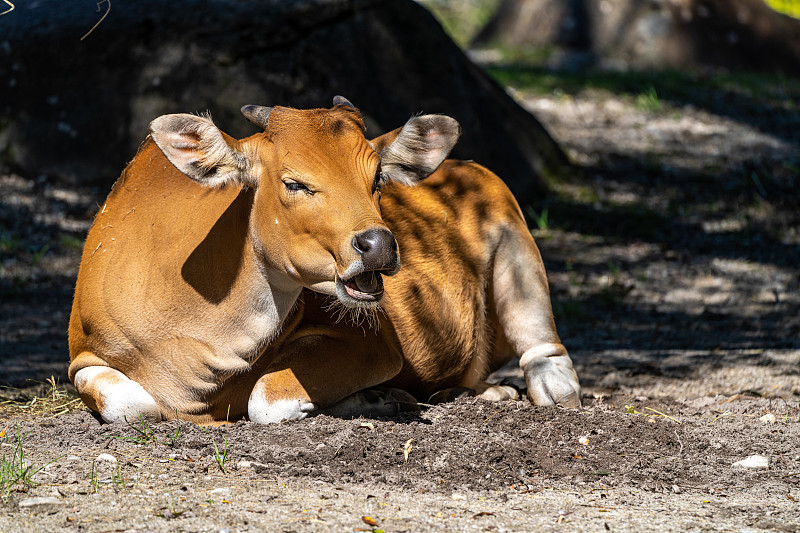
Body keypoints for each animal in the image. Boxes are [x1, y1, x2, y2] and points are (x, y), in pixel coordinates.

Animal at [69, 96, 580, 424]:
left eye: (377, 178)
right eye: (294, 182)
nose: (379, 245)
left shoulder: (371, 342)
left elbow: (264, 399)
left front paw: (374, 399)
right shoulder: (82, 359)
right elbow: (129, 405)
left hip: (515, 237)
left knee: (542, 345)